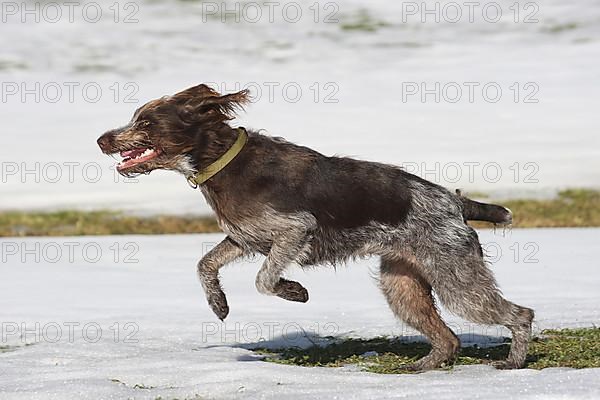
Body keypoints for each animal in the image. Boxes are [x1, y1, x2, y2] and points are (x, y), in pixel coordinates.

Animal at [97, 84, 536, 372]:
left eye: (146, 122)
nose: (101, 139)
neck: (222, 160)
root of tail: (456, 203)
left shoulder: (294, 230)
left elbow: (264, 279)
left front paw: (294, 291)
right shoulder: (245, 237)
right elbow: (205, 264)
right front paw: (218, 303)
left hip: (456, 279)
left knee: (521, 313)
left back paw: (513, 362)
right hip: (403, 286)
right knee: (449, 339)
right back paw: (422, 367)